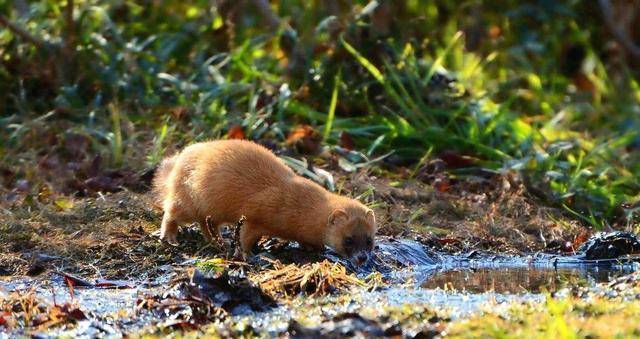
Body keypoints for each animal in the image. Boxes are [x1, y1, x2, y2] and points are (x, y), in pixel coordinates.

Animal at [152, 139, 378, 264]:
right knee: (171, 211)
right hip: (187, 198)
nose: (362, 258)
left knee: (207, 223)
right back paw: (170, 237)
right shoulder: (256, 214)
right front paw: (248, 254)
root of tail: (180, 157)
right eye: (348, 239)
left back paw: (217, 240)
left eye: (369, 240)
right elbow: (245, 235)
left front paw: (314, 248)